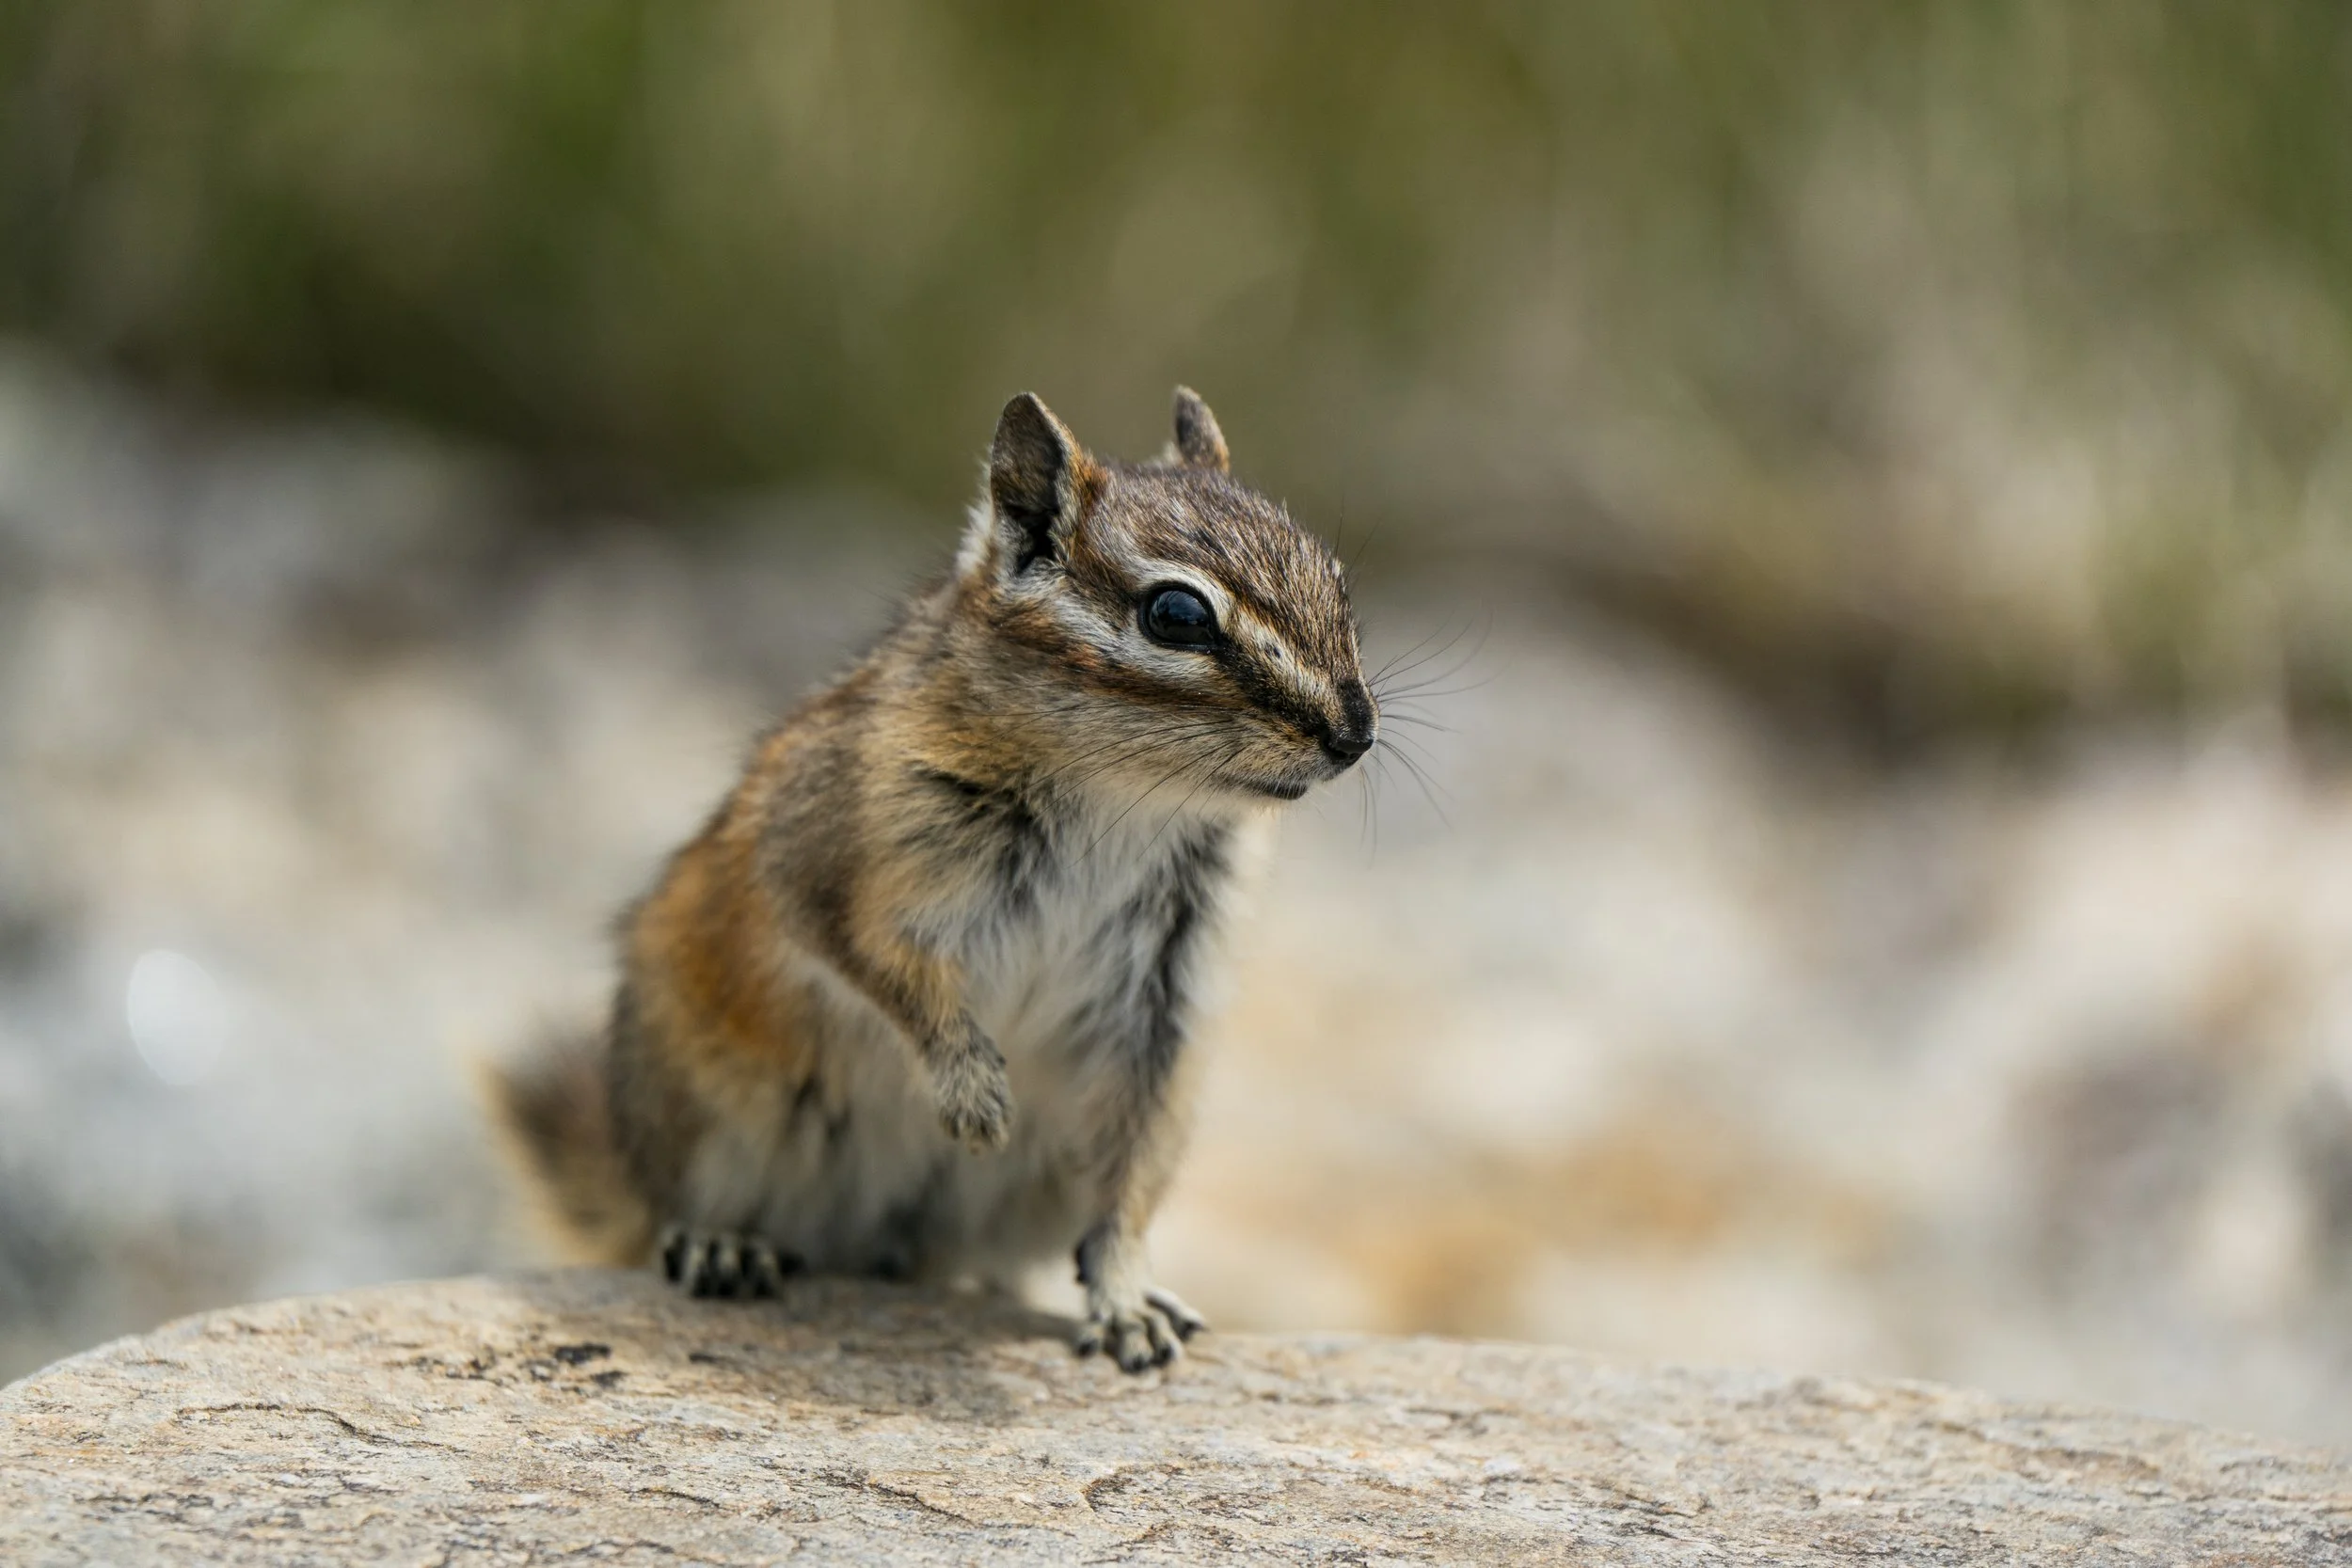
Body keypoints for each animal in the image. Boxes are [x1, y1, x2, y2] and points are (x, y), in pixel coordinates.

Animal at [493, 387, 1377, 1372]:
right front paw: (973, 1092)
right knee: (672, 1216)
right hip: (711, 1111)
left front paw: (1127, 1298)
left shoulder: (1165, 1010)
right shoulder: (825, 856)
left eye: (1337, 580)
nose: (1357, 733)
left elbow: (1128, 1186)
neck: (1125, 798)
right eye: (1177, 614)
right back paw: (723, 1241)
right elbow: (877, 965)